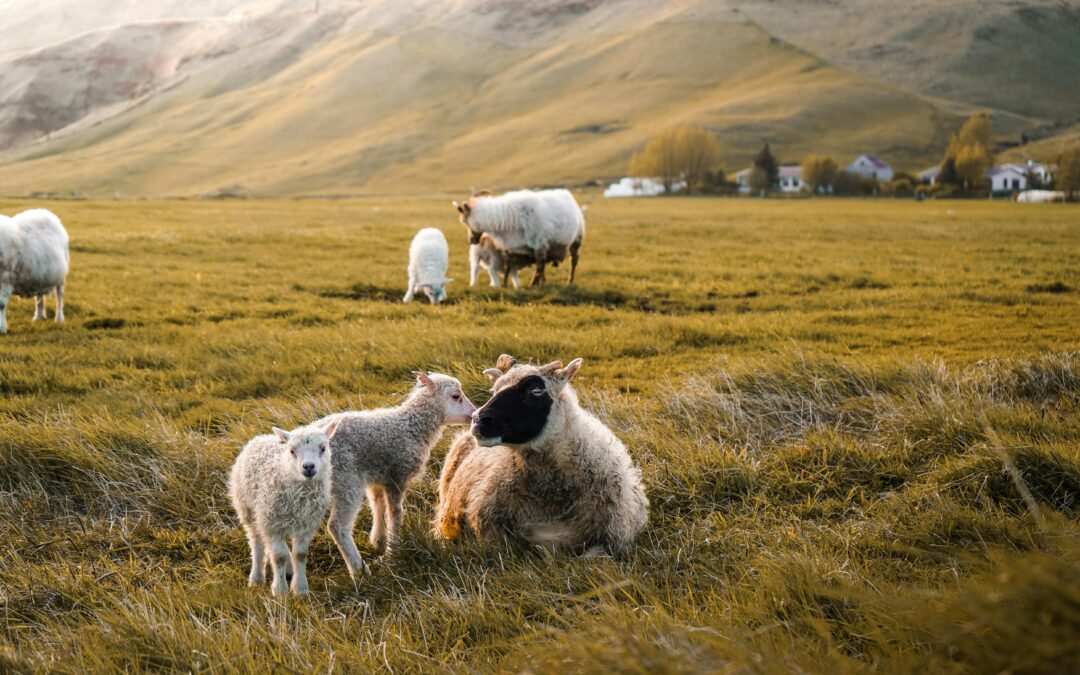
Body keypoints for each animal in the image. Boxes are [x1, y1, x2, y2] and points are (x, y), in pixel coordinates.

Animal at [229, 418, 342, 597]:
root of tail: (261, 437)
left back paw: (285, 569)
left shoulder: (306, 524)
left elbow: (300, 554)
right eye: (292, 451)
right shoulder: (272, 523)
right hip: (248, 509)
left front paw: (300, 589)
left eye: (323, 448)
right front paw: (280, 590)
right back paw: (256, 577)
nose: (308, 466)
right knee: (256, 542)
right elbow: (279, 556)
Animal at [316, 372, 476, 578]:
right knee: (337, 526)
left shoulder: (377, 475)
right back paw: (359, 570)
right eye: (456, 396)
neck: (412, 426)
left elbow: (378, 505)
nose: (474, 414)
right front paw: (393, 551)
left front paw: (378, 539)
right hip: (346, 480)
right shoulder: (396, 475)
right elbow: (395, 513)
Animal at [454, 189, 584, 286]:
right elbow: (509, 267)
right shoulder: (512, 247)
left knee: (573, 261)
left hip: (576, 240)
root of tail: (569, 196)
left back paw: (570, 282)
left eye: (465, 222)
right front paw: (505, 285)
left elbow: (539, 266)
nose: (472, 240)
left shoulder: (540, 245)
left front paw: (533, 284)